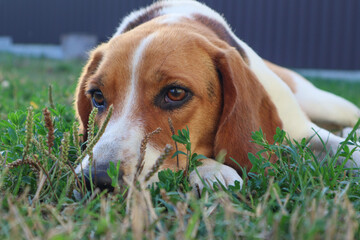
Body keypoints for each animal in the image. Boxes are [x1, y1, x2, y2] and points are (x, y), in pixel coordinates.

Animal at [74, 0, 360, 191]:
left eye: (175, 93)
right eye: (97, 97)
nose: (97, 179)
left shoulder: (301, 130)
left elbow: (343, 149)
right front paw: (212, 170)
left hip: (327, 104)